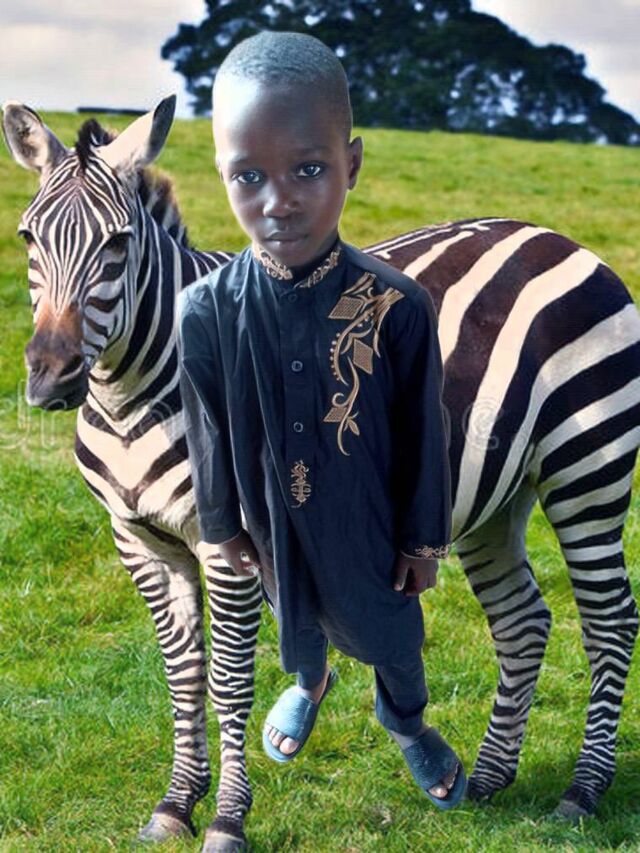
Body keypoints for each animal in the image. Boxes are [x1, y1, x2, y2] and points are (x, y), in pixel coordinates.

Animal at [3, 96, 639, 846]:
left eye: (118, 244)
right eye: (26, 239)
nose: (51, 377)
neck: (135, 400)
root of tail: (557, 239)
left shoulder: (230, 544)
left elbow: (228, 677)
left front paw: (227, 816)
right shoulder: (138, 540)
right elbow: (183, 674)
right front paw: (174, 803)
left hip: (588, 464)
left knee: (609, 620)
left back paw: (583, 789)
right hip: (495, 492)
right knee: (523, 619)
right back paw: (487, 778)